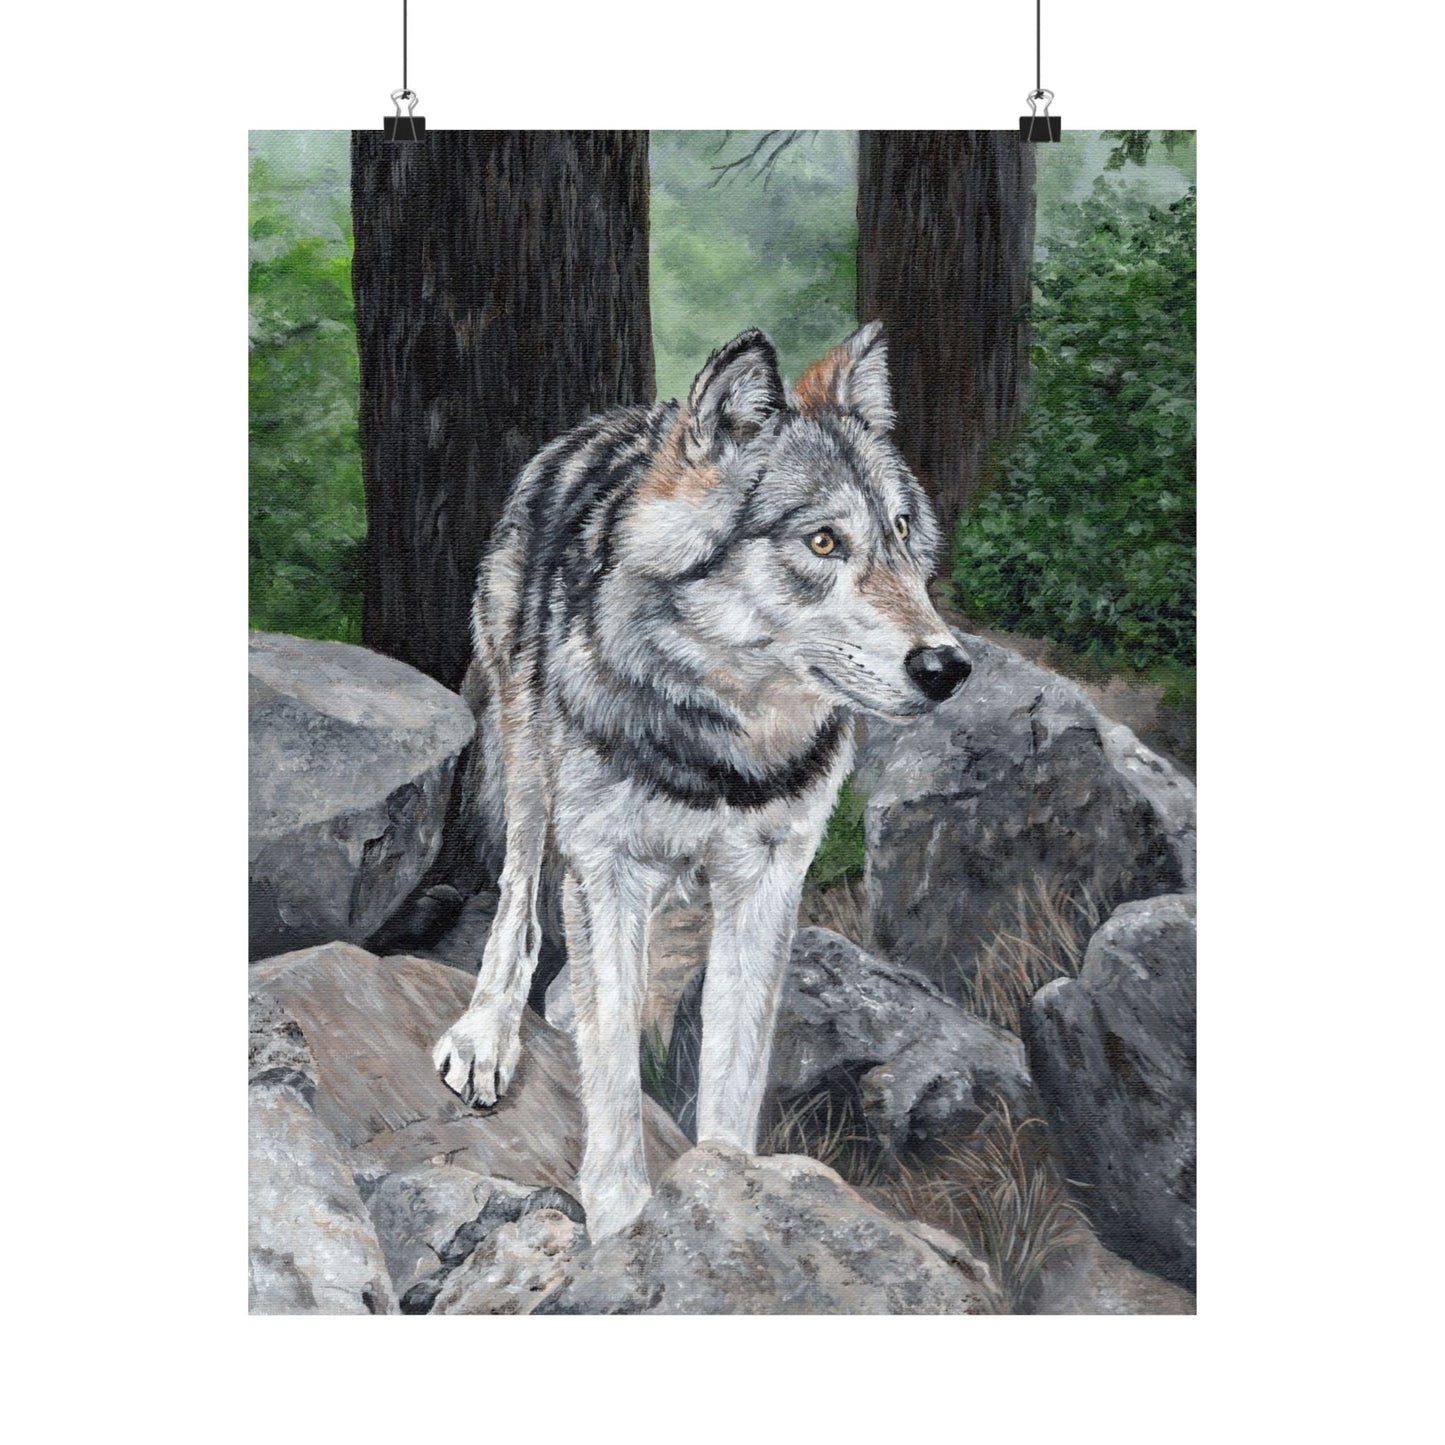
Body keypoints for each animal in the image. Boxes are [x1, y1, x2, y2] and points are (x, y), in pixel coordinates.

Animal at [433, 322, 972, 1238]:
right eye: (823, 542)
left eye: (902, 531)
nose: (948, 666)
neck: (724, 748)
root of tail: (613, 420)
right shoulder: (606, 862)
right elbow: (614, 1070)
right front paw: (623, 1222)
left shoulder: (768, 879)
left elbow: (730, 1065)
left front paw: (730, 1194)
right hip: (529, 761)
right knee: (518, 905)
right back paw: (489, 1031)